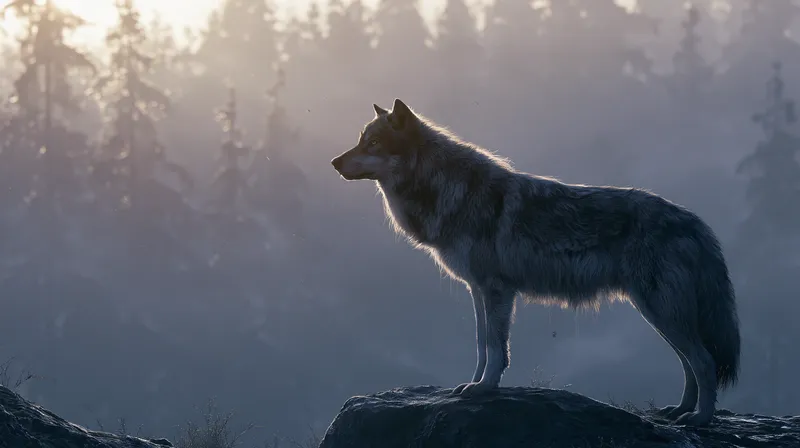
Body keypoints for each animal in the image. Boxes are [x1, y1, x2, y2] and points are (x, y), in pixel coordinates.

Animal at [330, 99, 740, 427]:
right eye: (360, 140)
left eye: (373, 144)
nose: (334, 161)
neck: (447, 190)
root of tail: (696, 223)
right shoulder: (478, 289)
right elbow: (481, 344)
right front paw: (473, 384)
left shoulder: (497, 290)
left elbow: (496, 347)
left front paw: (485, 388)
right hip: (660, 315)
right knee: (690, 366)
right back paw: (679, 412)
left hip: (661, 312)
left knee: (703, 362)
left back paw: (700, 420)